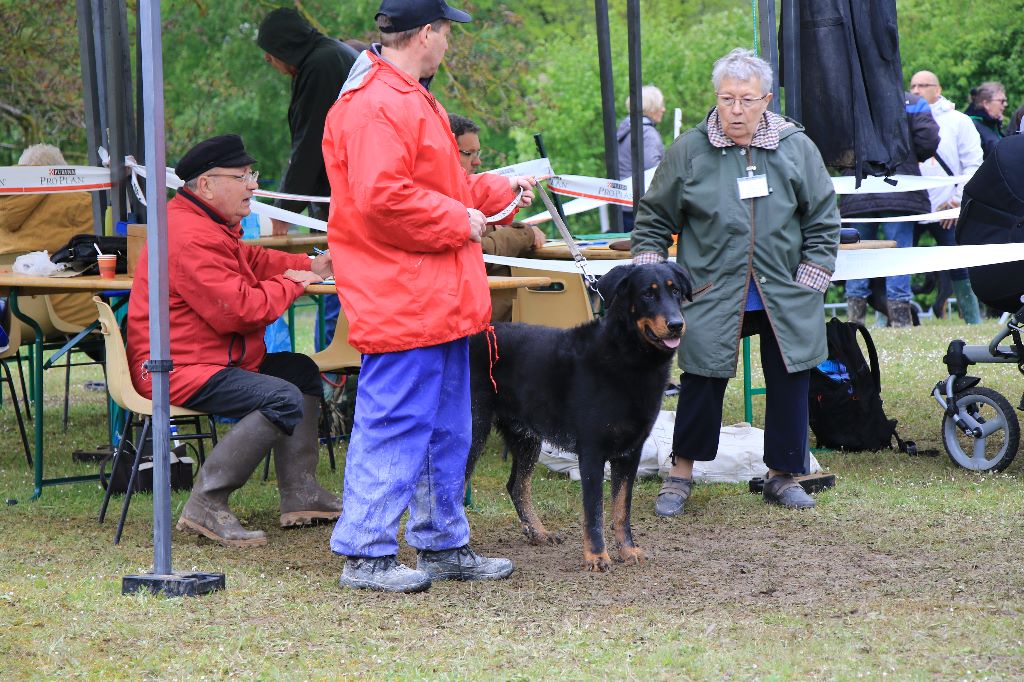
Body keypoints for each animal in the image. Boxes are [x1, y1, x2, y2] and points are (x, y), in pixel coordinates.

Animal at [468, 260, 692, 569]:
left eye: (676, 291)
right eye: (648, 293)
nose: (676, 325)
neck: (628, 357)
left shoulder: (630, 453)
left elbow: (621, 509)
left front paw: (627, 550)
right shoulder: (592, 453)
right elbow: (595, 511)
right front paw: (597, 556)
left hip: (525, 437)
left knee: (516, 485)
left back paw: (538, 532)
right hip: (472, 430)